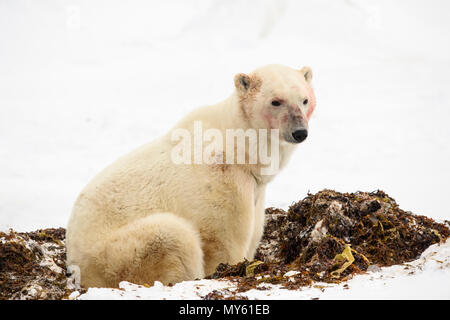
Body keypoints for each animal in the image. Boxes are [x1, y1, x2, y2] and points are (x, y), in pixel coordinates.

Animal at [67, 63, 316, 286]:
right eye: (276, 101)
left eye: (304, 100)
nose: (299, 132)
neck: (239, 149)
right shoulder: (221, 180)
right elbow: (224, 241)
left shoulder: (254, 188)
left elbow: (253, 233)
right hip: (116, 254)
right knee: (173, 235)